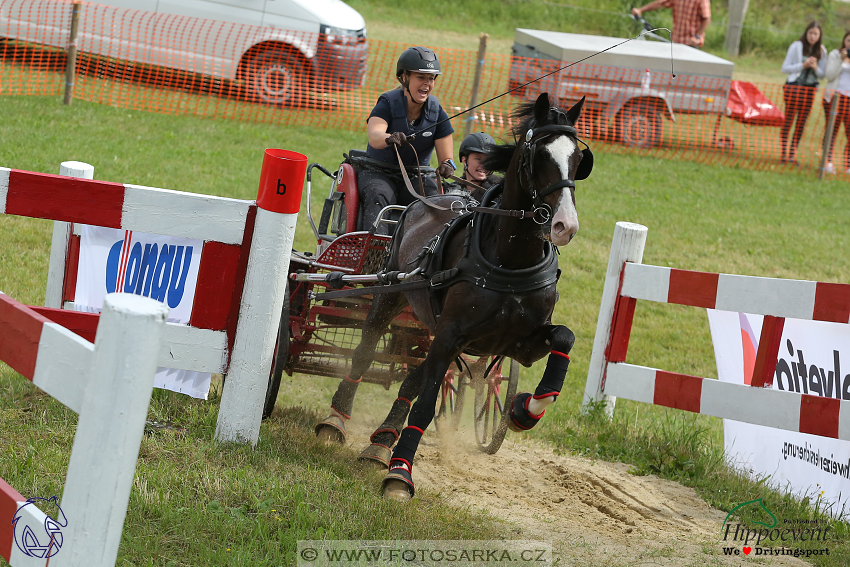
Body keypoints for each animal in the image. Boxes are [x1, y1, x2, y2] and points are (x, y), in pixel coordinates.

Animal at [314, 93, 588, 502]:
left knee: (413, 377)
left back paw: (381, 442)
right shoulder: (450, 335)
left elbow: (564, 339)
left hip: (428, 326)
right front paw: (401, 474)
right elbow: (426, 405)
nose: (564, 226)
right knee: (365, 353)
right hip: (391, 297)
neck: (509, 259)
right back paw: (337, 420)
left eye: (578, 157)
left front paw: (526, 409)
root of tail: (422, 201)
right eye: (539, 154)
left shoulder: (519, 342)